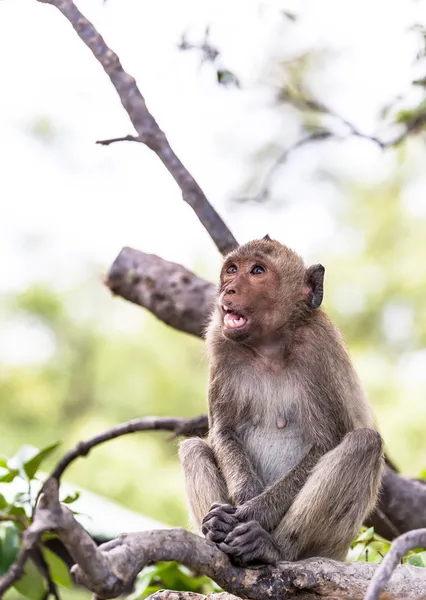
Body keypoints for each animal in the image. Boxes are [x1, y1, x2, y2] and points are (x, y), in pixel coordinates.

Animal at [178, 236, 384, 568]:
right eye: (232, 269)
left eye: (257, 271)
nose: (228, 289)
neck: (268, 346)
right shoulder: (219, 340)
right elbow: (223, 430)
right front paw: (243, 499)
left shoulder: (318, 346)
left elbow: (327, 441)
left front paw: (253, 512)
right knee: (192, 448)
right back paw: (217, 531)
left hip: (332, 547)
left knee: (364, 443)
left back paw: (272, 547)